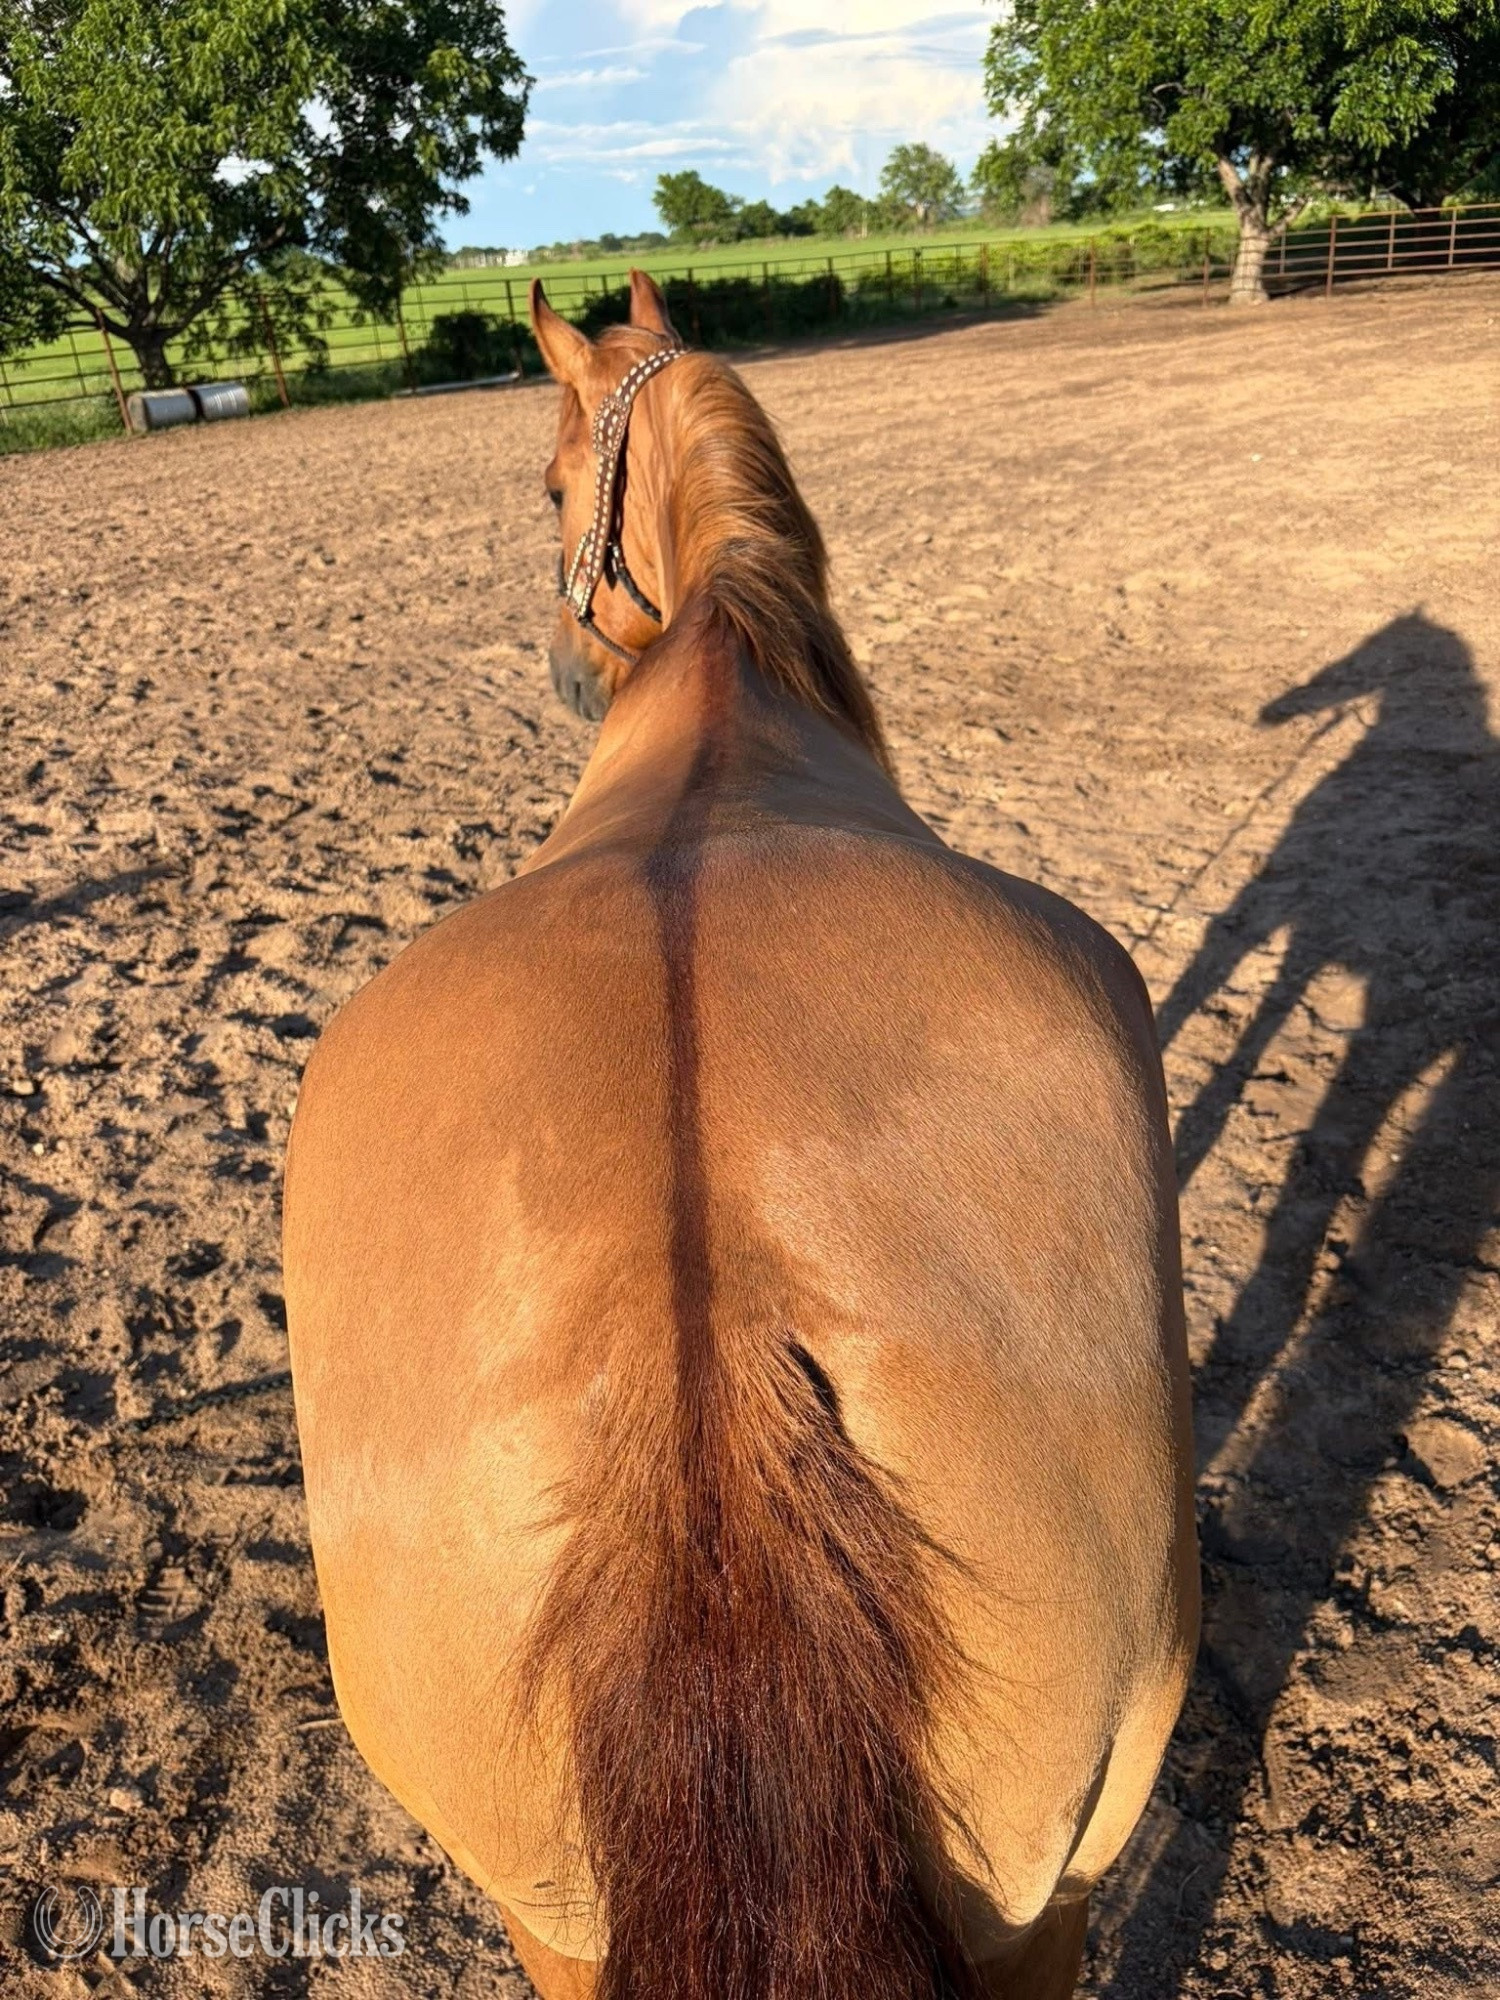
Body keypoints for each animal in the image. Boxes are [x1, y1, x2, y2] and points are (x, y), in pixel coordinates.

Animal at [282, 268, 1198, 2000]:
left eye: (550, 485)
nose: (564, 659)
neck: (720, 674)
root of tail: (705, 1323)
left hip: (593, 1915)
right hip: (1029, 1889)